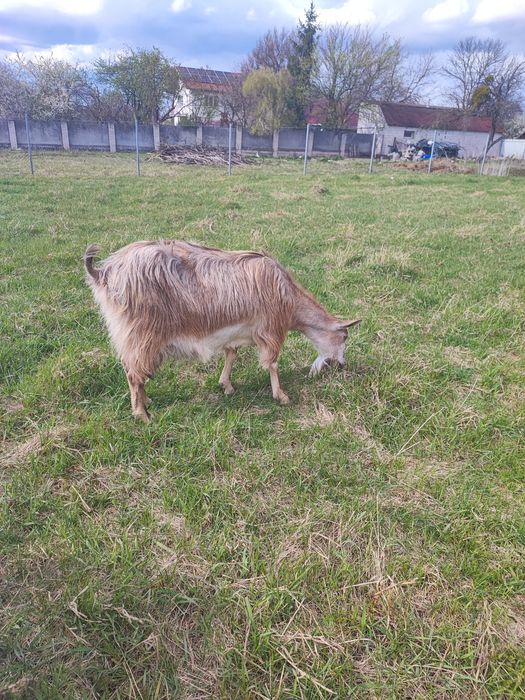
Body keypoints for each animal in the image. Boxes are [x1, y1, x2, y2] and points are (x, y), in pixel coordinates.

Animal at [84, 240, 360, 421]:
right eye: (344, 336)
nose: (342, 365)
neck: (288, 299)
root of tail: (104, 272)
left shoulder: (236, 331)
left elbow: (231, 354)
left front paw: (226, 385)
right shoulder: (271, 329)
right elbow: (272, 363)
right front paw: (281, 396)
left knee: (135, 369)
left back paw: (146, 400)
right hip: (142, 332)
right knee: (133, 372)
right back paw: (141, 413)